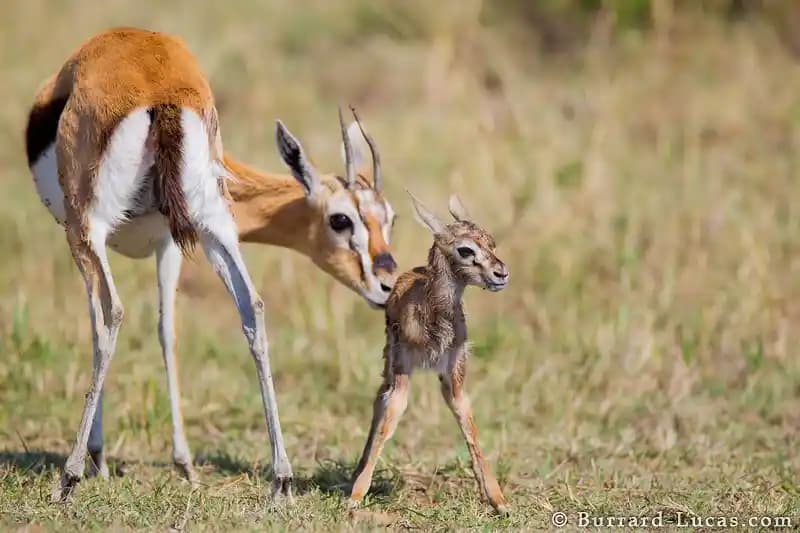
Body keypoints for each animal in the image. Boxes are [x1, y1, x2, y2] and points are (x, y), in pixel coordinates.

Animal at [25, 27, 398, 502]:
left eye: (388, 218)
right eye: (342, 219)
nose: (386, 284)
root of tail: (160, 90)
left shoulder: (106, 240)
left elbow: (106, 328)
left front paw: (101, 460)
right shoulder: (171, 242)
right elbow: (168, 331)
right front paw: (180, 464)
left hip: (89, 228)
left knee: (113, 315)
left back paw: (68, 477)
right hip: (213, 225)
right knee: (252, 308)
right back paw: (281, 479)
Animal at [348, 193, 510, 515]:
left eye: (491, 242)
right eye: (465, 249)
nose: (501, 274)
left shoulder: (453, 373)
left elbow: (468, 423)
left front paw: (498, 499)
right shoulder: (403, 370)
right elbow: (390, 418)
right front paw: (355, 496)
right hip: (390, 364)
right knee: (379, 399)